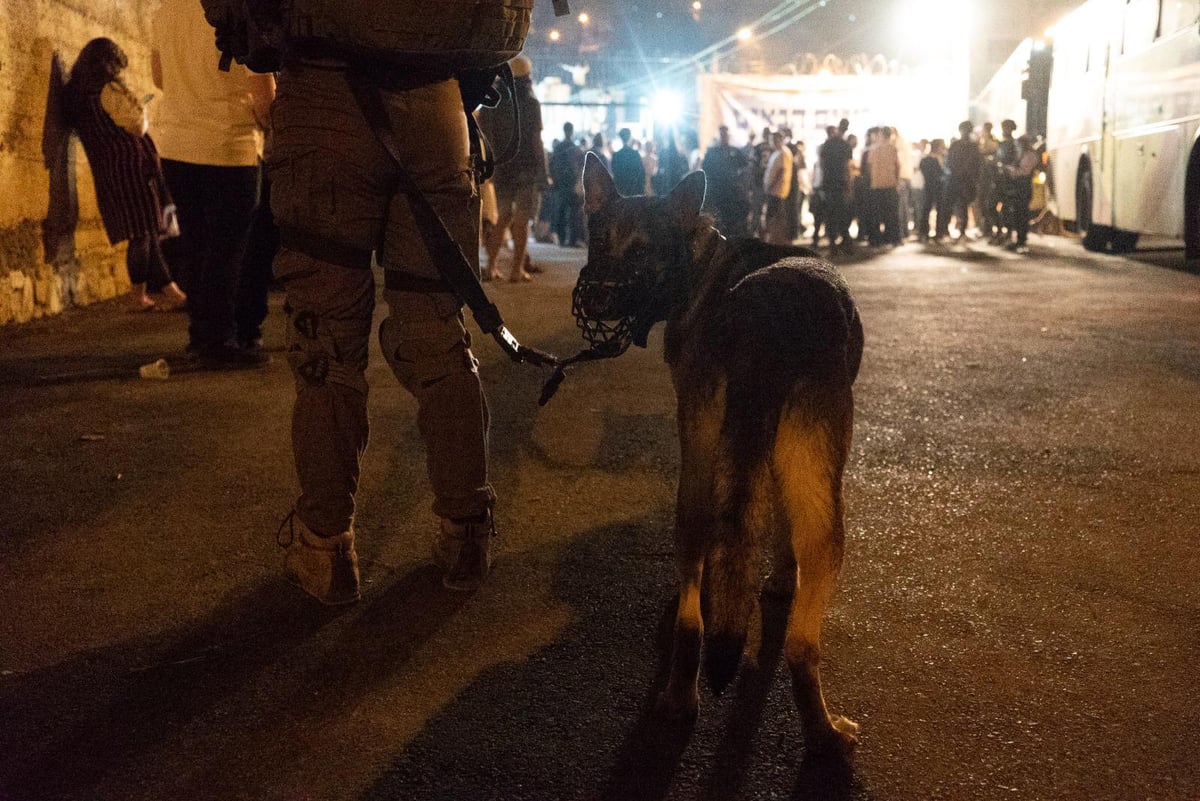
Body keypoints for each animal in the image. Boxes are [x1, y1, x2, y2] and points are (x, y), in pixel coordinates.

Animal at [573, 149, 864, 757]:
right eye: (598, 241)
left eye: (643, 251)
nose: (596, 296)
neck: (703, 258)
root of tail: (766, 320)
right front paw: (780, 577)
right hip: (810, 507)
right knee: (790, 641)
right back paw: (820, 731)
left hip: (705, 472)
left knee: (701, 612)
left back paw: (689, 697)